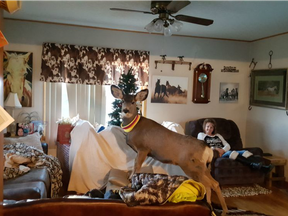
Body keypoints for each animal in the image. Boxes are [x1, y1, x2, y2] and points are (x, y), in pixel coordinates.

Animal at [110, 85, 227, 215]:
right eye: (122, 101)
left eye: (133, 102)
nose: (125, 110)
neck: (134, 128)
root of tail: (208, 149)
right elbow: (135, 165)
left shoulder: (143, 148)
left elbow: (137, 166)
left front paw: (131, 180)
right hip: (204, 167)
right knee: (214, 183)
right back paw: (218, 209)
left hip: (192, 166)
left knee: (210, 185)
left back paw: (218, 209)